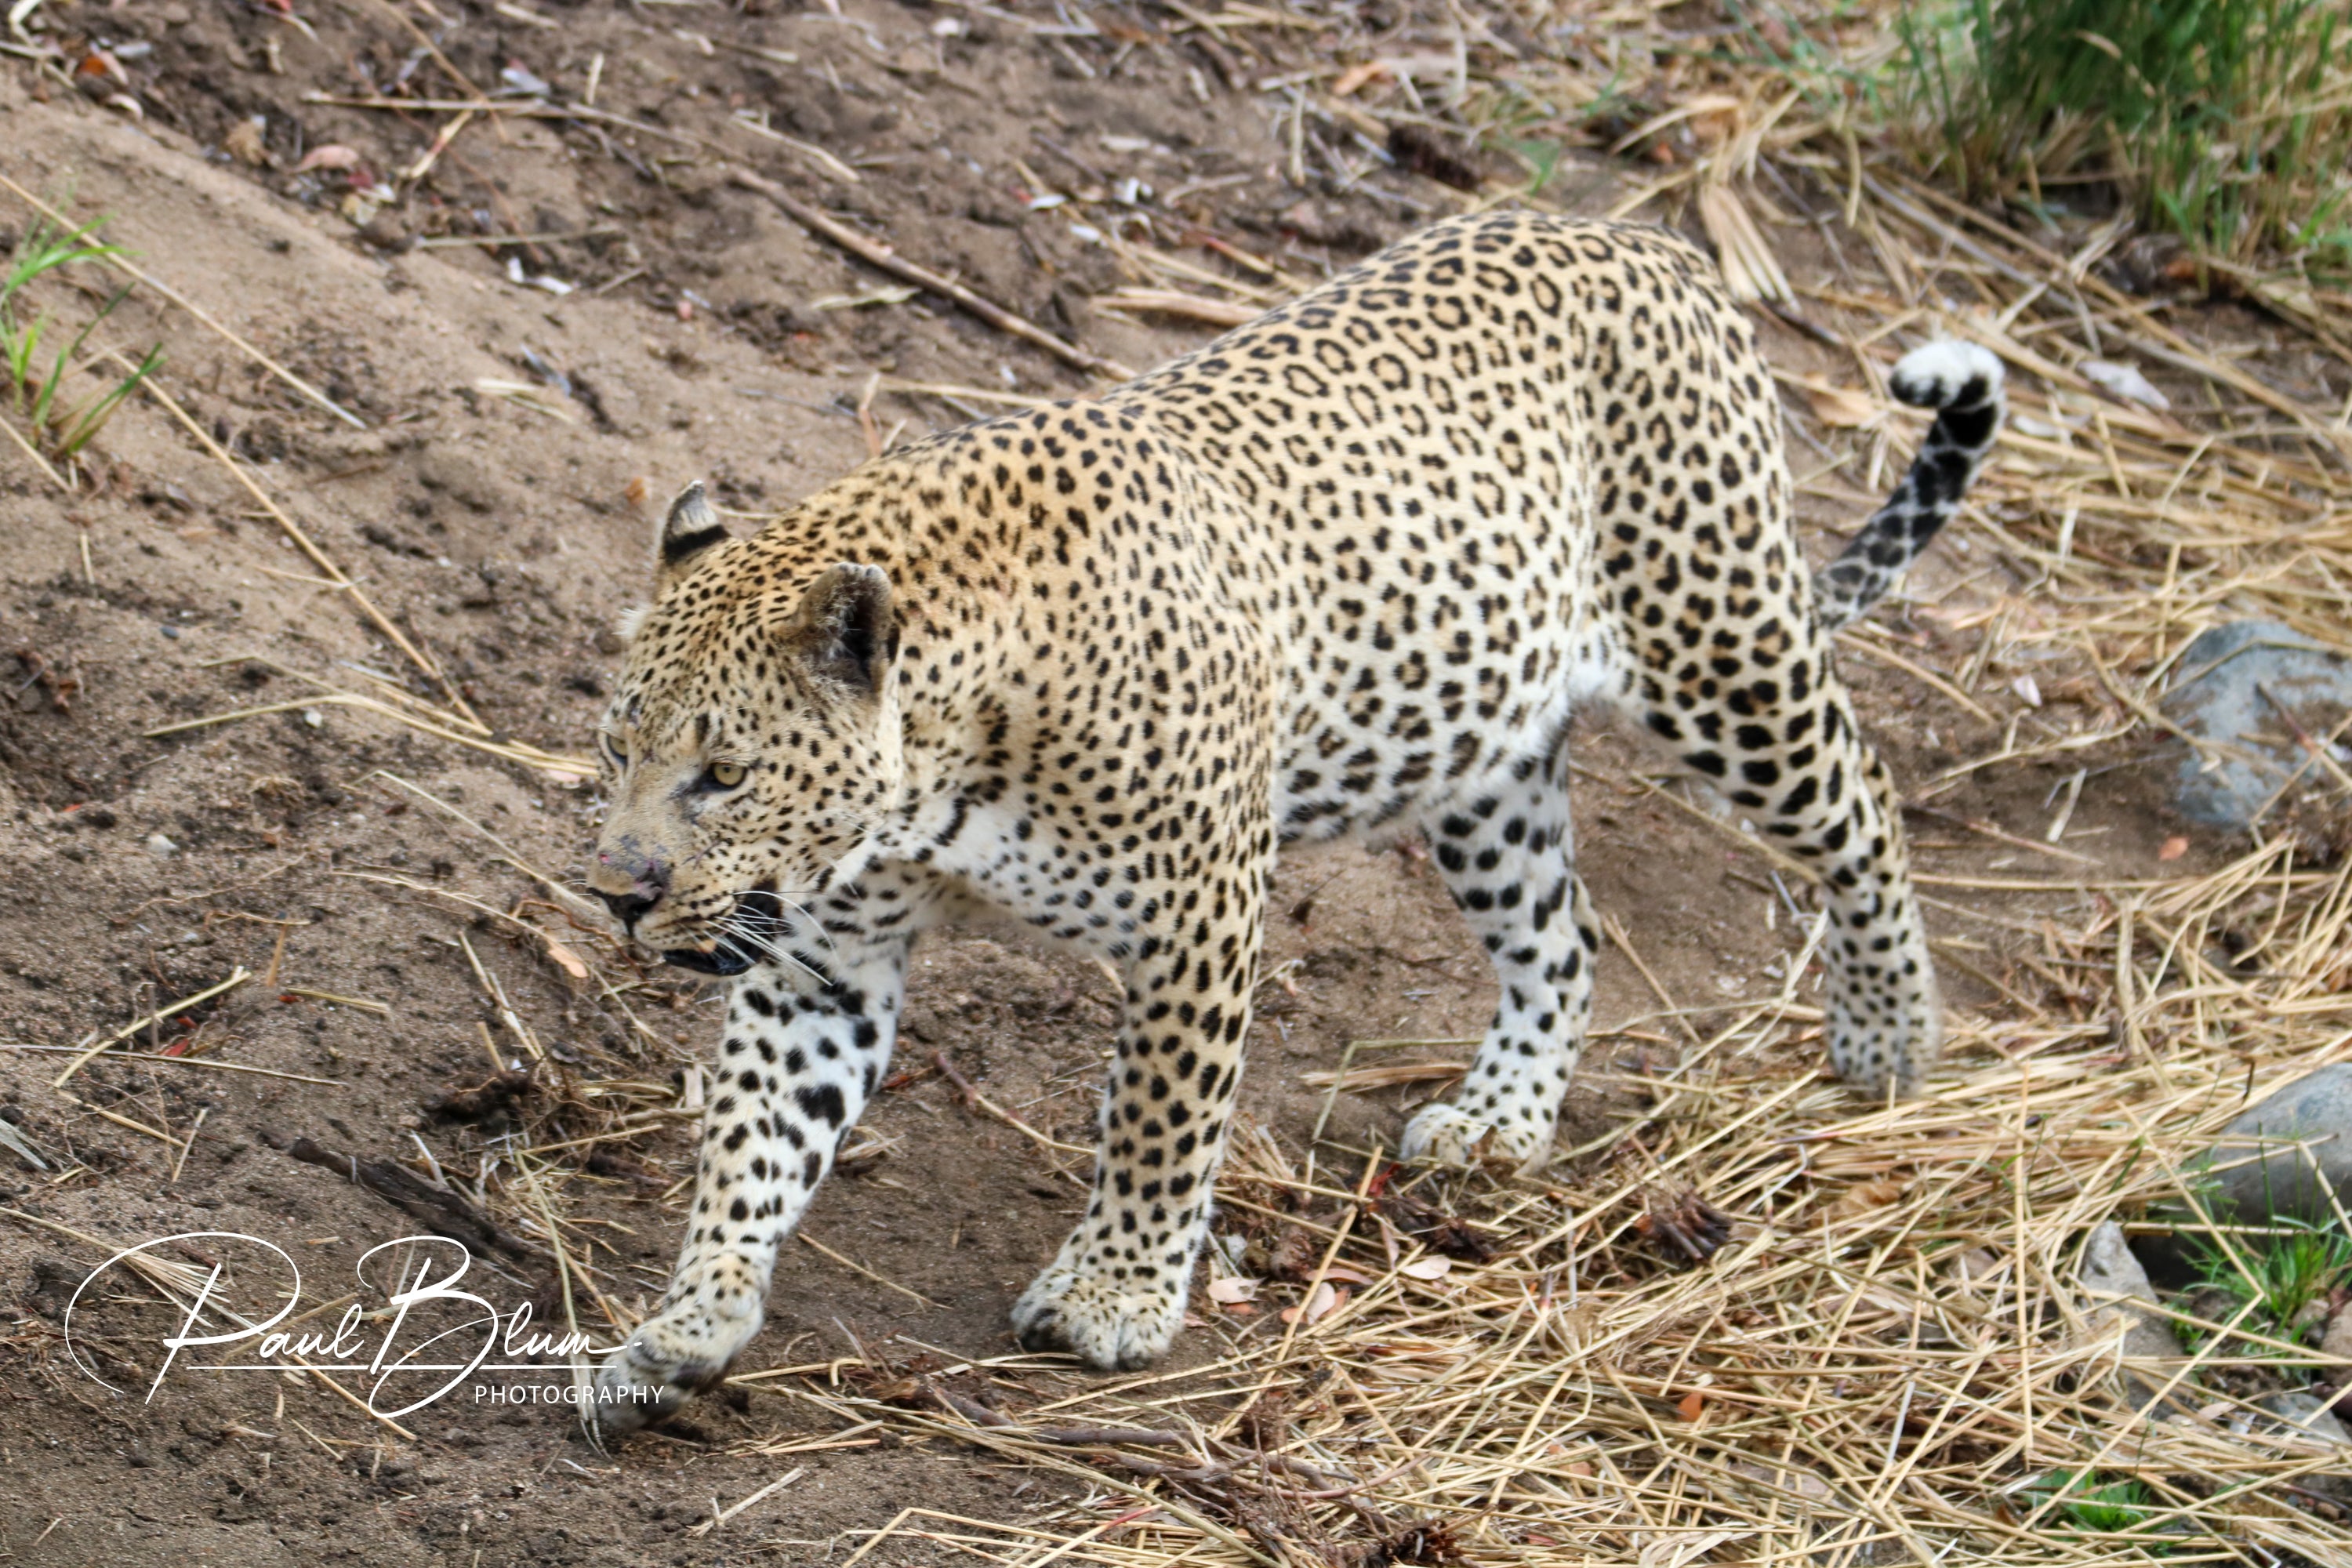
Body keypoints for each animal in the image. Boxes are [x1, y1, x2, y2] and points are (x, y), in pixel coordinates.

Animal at [579, 211, 1994, 1439]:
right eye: (617, 747)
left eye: (724, 774)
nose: (619, 893)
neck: (932, 778)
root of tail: (1656, 242)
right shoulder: (823, 956)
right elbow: (754, 1136)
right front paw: (686, 1320)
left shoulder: (1198, 907)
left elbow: (1162, 1117)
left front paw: (1114, 1296)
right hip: (1481, 759)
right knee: (1565, 933)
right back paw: (1501, 1122)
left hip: (1721, 647)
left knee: (1861, 803)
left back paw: (1890, 1037)